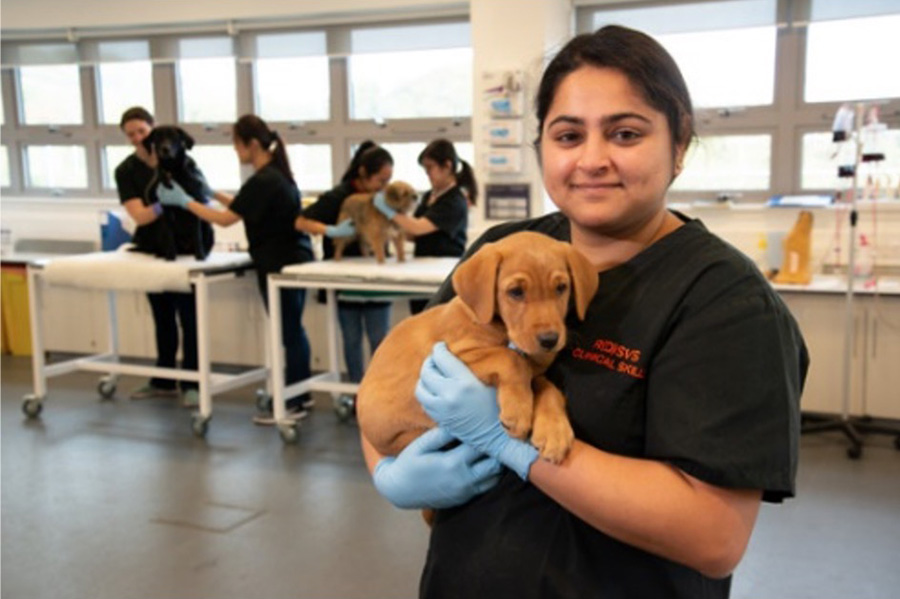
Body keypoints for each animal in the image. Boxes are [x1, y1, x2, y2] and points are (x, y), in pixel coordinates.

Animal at [134, 126, 214, 260]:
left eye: (174, 137)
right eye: (158, 137)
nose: (165, 149)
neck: (172, 171)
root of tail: (185, 249)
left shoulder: (195, 204)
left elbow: (197, 235)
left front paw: (200, 256)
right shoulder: (166, 211)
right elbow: (169, 235)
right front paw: (170, 257)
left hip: (209, 227)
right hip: (159, 229)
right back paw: (161, 254)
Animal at [356, 230, 596, 468]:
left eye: (561, 288)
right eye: (516, 292)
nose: (550, 340)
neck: (502, 328)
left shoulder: (534, 373)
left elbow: (548, 388)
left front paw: (554, 430)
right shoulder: (455, 355)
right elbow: (512, 359)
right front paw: (518, 412)